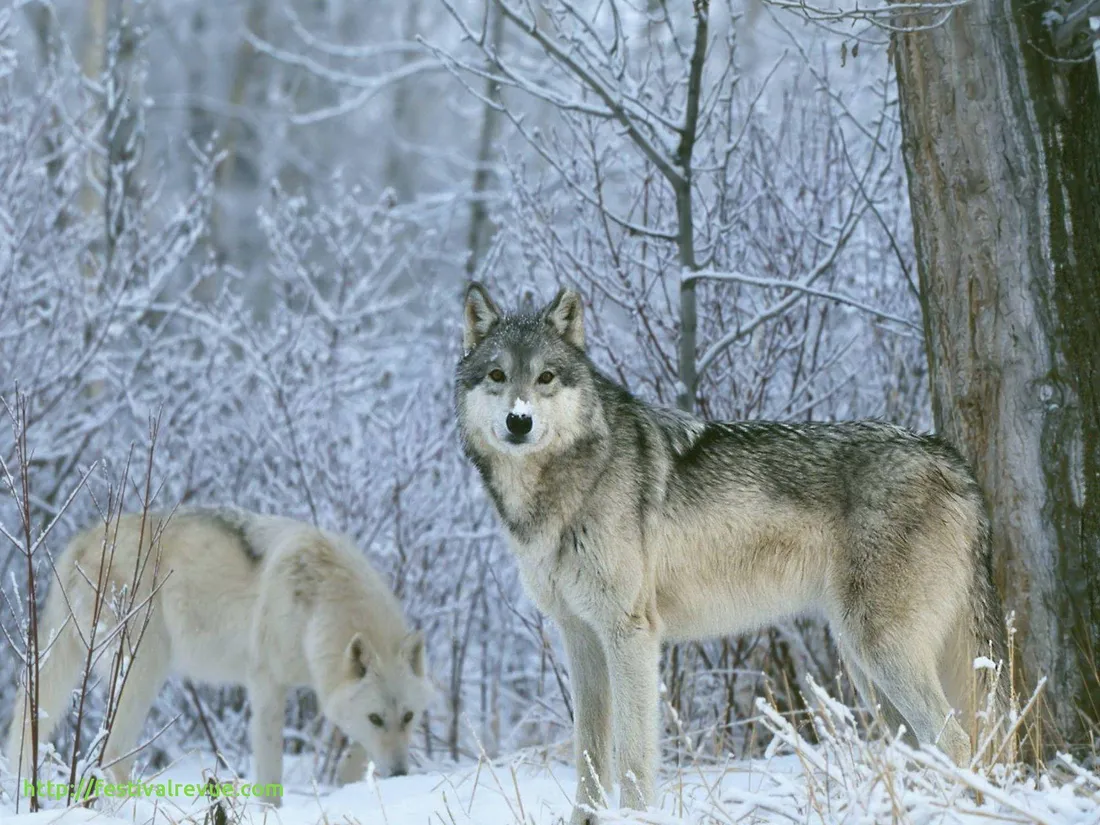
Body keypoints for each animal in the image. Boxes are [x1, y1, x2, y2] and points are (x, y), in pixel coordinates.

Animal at [5, 509, 432, 798]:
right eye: (376, 718)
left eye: (409, 717)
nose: (400, 774)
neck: (320, 603)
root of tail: (81, 541)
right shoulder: (267, 686)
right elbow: (271, 774)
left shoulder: (326, 688)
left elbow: (354, 748)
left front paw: (347, 780)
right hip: (144, 671)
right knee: (112, 755)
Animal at [455, 283, 1009, 824]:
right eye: (498, 375)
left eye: (545, 377)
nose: (519, 420)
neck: (564, 487)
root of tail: (953, 461)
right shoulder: (580, 637)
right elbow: (589, 759)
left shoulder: (630, 634)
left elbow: (632, 757)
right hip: (865, 668)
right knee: (921, 750)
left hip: (880, 652)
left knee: (956, 740)